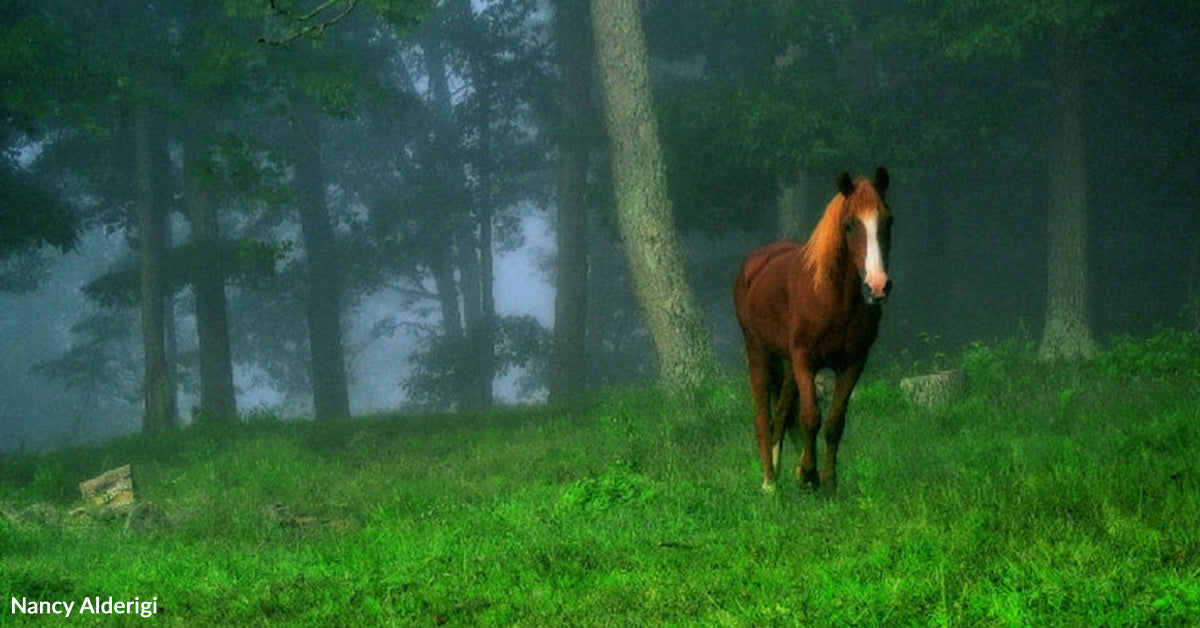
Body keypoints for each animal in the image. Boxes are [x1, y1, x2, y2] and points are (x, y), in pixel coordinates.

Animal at [733, 168, 892, 492]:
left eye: (888, 221)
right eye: (849, 224)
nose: (877, 286)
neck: (833, 298)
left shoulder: (853, 363)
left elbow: (834, 423)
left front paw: (827, 482)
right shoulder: (805, 360)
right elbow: (811, 417)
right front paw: (808, 472)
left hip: (786, 364)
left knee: (782, 413)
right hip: (758, 352)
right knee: (763, 418)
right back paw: (770, 483)